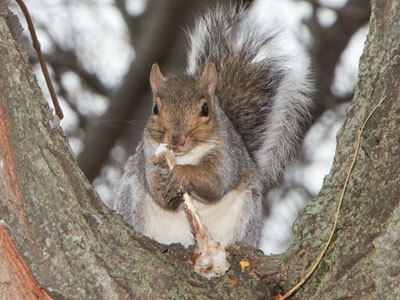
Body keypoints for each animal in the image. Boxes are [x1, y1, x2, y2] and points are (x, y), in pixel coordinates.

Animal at [112, 2, 312, 248]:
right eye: (155, 108)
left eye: (205, 109)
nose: (176, 139)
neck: (184, 156)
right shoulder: (148, 155)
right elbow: (155, 189)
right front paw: (161, 185)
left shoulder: (226, 156)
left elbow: (215, 182)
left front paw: (183, 173)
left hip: (247, 216)